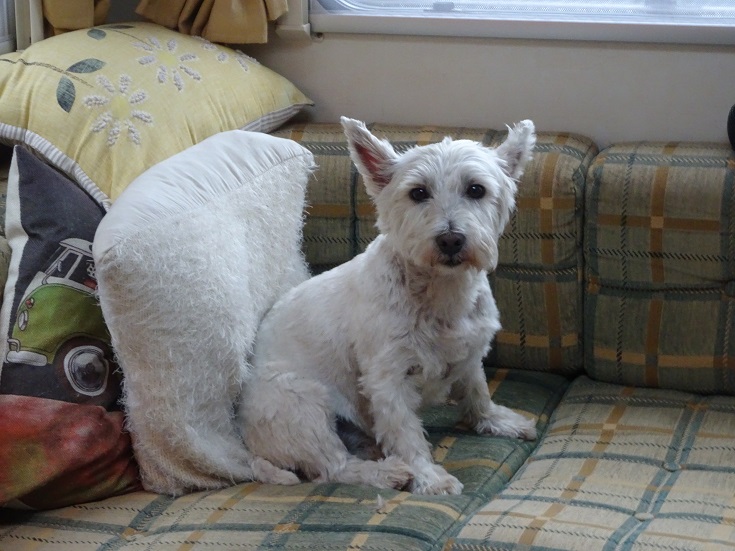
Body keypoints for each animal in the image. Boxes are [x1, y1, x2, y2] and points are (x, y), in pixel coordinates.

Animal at [240, 117, 536, 496]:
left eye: (476, 189)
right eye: (418, 193)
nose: (450, 240)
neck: (440, 293)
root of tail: (249, 444)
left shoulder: (469, 354)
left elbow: (478, 393)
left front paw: (498, 421)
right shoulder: (387, 378)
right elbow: (406, 432)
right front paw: (430, 477)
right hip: (302, 403)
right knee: (332, 466)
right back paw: (388, 472)